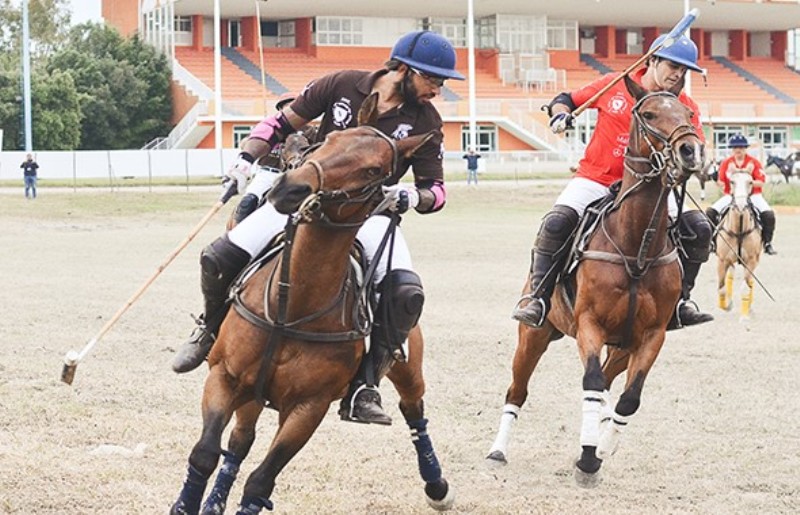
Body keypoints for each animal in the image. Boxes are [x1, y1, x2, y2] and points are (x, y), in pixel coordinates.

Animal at [172, 98, 454, 515]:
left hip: (407, 364)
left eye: (374, 170)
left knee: (414, 407)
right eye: (330, 140)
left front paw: (402, 196)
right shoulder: (225, 377)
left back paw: (436, 485)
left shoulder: (310, 406)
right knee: (240, 439)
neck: (292, 306)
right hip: (251, 392)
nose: (290, 187)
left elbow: (261, 481)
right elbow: (205, 453)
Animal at [484, 76, 704, 488]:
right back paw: (497, 450)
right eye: (650, 114)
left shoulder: (652, 334)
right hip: (534, 335)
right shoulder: (590, 324)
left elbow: (628, 398)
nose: (690, 150)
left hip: (622, 345)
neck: (636, 247)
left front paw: (599, 450)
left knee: (608, 383)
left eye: (689, 113)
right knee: (518, 390)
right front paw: (587, 460)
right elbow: (590, 380)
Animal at [712, 172, 764, 318]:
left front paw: (745, 317)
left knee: (751, 281)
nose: (741, 205)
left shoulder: (751, 261)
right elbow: (721, 288)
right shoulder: (722, 260)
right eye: (732, 181)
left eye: (750, 182)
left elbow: (746, 287)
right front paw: (726, 306)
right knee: (730, 275)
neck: (739, 230)